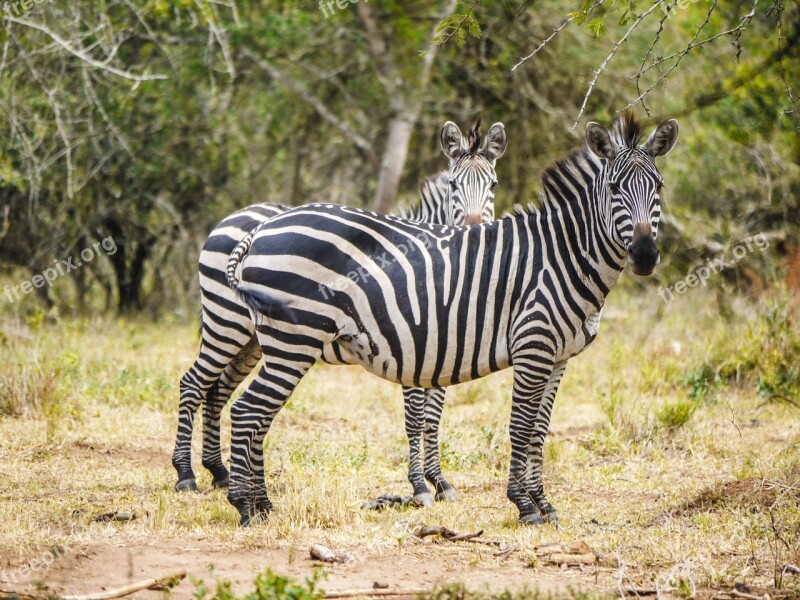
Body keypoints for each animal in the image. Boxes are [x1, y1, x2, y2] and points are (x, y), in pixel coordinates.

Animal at [172, 117, 510, 506]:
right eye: (454, 185)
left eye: (494, 184)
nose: (474, 229)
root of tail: (235, 216)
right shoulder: (413, 343)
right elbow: (415, 417)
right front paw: (420, 487)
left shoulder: (444, 349)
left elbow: (433, 417)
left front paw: (440, 481)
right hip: (225, 321)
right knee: (193, 383)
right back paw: (185, 474)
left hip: (255, 339)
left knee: (218, 390)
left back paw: (220, 471)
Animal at [227, 112, 680, 524]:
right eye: (614, 188)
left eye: (658, 186)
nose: (644, 255)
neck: (563, 255)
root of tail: (263, 226)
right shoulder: (532, 347)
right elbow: (519, 426)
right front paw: (523, 505)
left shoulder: (558, 357)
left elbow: (539, 431)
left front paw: (545, 505)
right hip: (290, 339)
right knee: (247, 410)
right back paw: (246, 507)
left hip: (270, 342)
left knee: (249, 411)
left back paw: (261, 506)